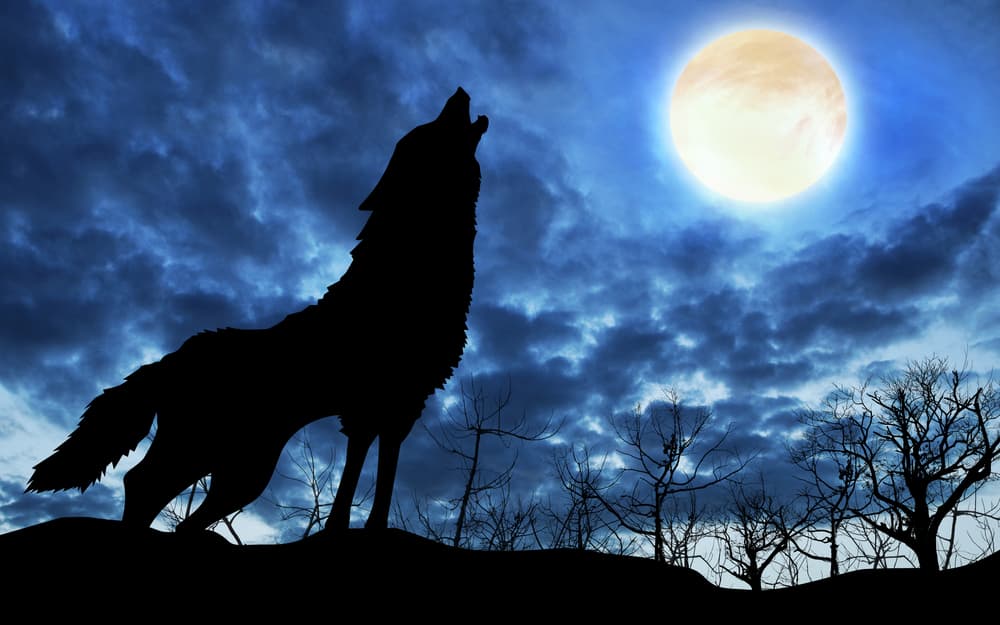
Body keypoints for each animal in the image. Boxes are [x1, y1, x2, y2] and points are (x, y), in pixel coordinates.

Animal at [26, 87, 488, 533]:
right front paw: (362, 528)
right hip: (216, 456)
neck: (407, 271)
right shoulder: (395, 398)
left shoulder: (383, 403)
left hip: (238, 469)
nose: (459, 91)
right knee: (141, 484)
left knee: (169, 505)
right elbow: (374, 466)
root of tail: (168, 360)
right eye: (430, 128)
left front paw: (350, 527)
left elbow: (366, 461)